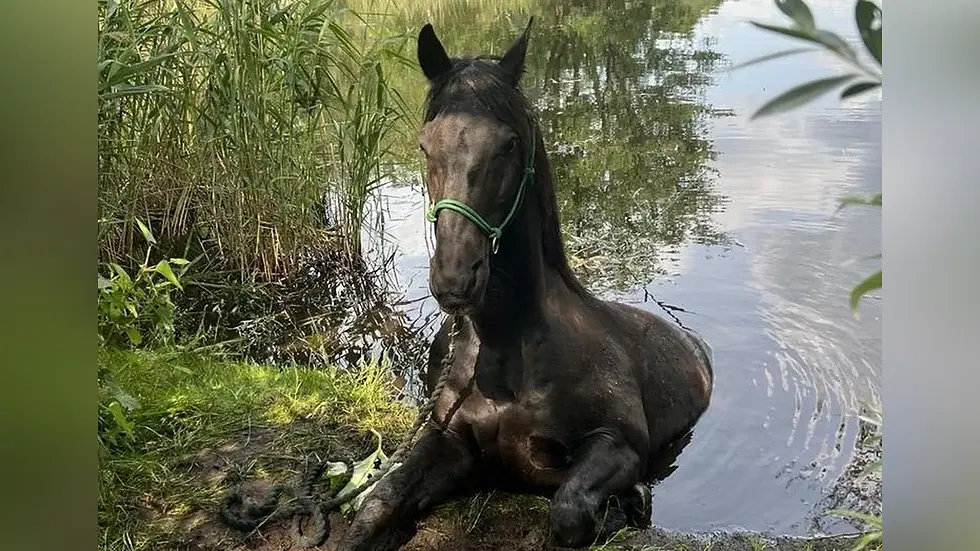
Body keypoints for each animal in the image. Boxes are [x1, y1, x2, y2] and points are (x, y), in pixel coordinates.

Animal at [334, 17, 714, 551]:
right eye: (426, 143)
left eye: (509, 143)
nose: (455, 276)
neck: (505, 347)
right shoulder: (448, 440)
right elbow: (377, 505)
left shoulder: (617, 443)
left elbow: (570, 510)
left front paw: (629, 503)